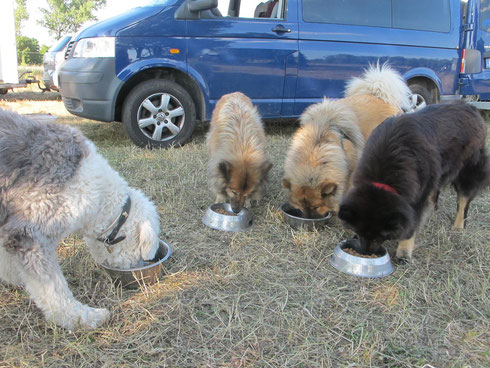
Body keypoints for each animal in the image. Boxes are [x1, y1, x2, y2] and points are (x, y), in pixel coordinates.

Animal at [338, 102, 488, 260]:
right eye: (360, 232)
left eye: (380, 236)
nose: (366, 252)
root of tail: (471, 107)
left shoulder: (417, 195)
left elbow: (412, 223)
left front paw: (404, 252)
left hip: (468, 169)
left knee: (464, 200)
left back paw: (459, 226)